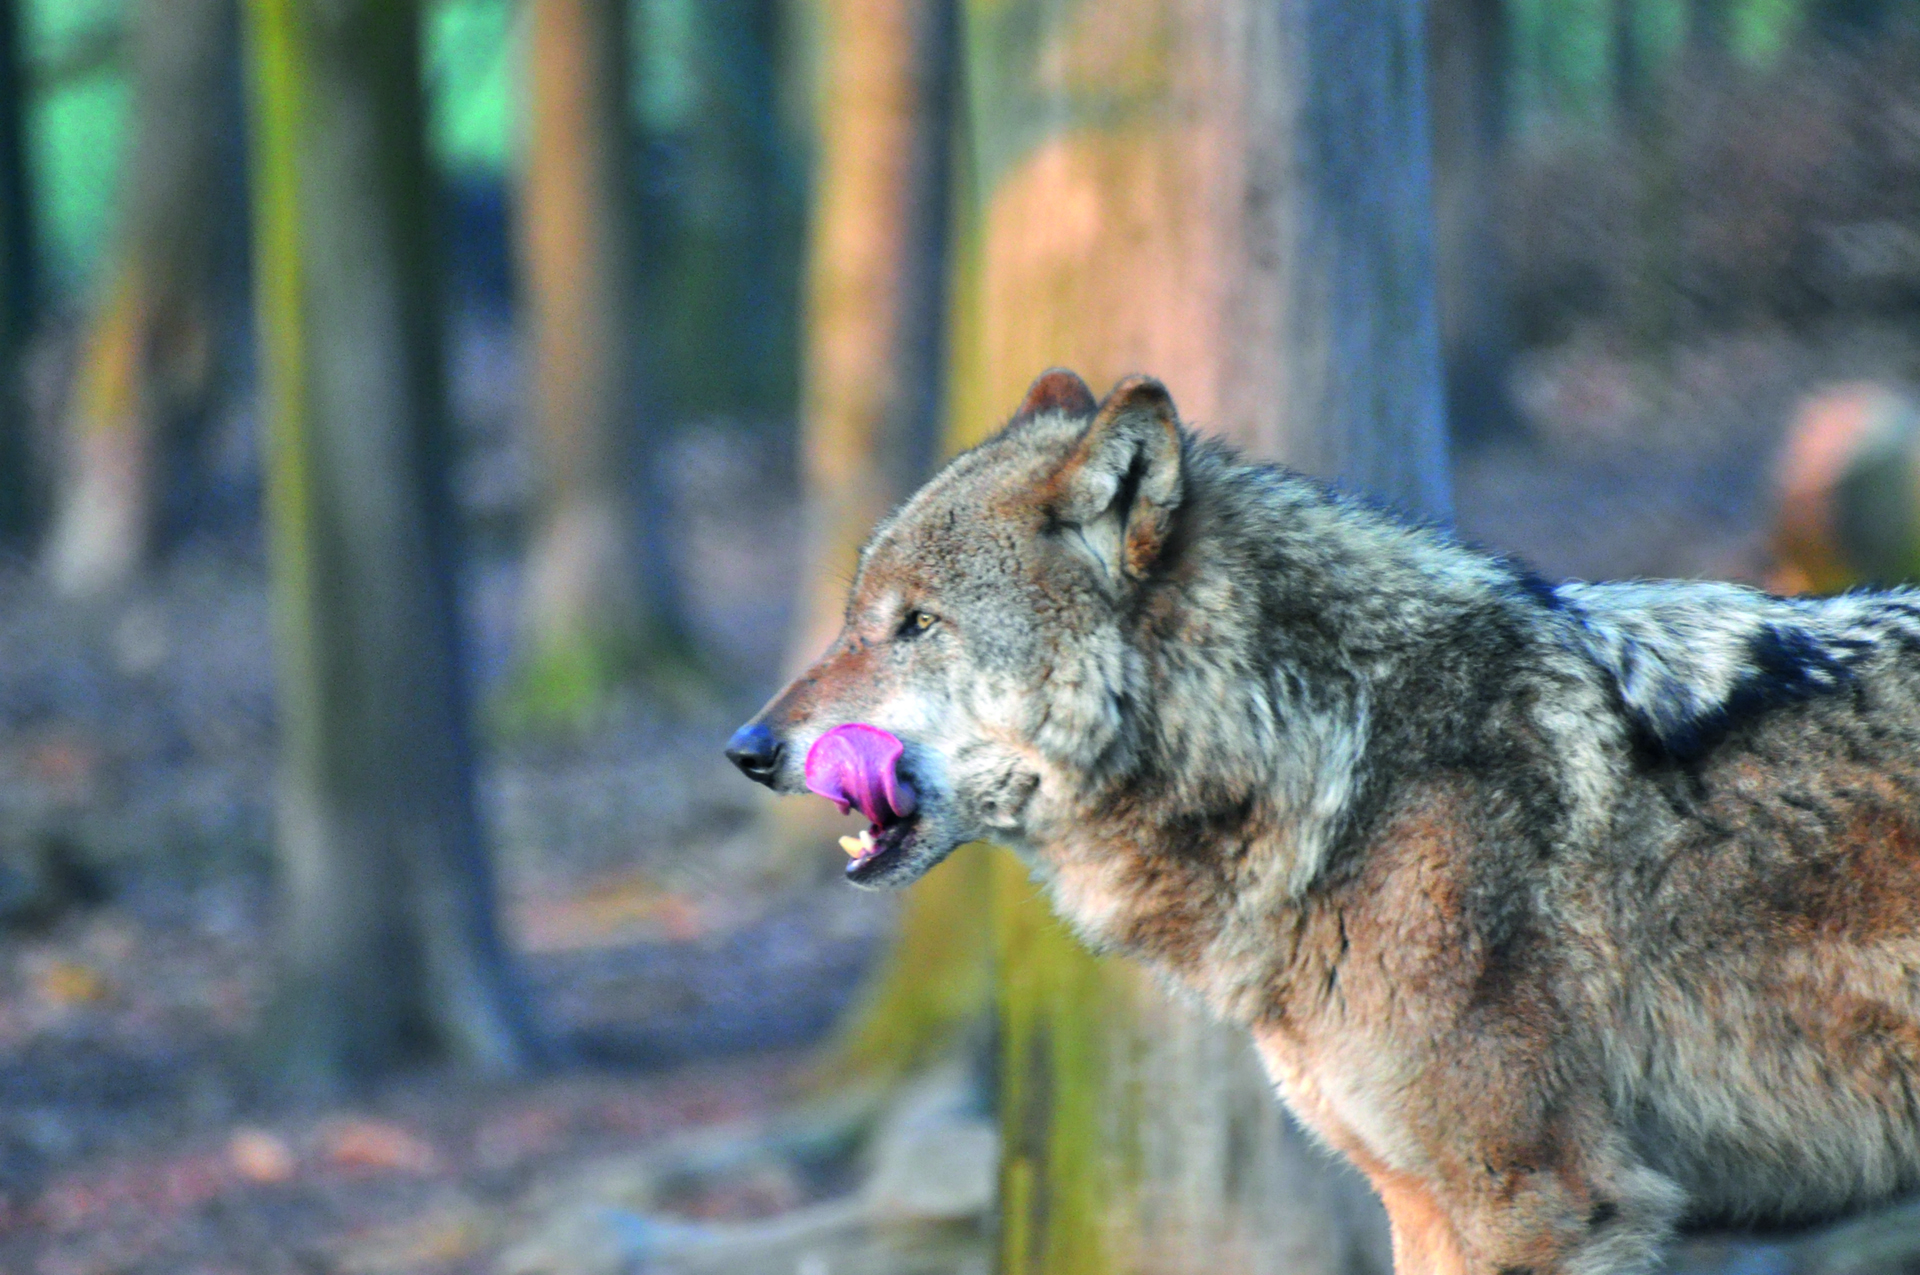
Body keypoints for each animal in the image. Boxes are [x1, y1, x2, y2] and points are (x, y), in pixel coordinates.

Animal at [726, 369, 1920, 1275]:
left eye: (917, 624)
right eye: (857, 617)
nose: (747, 747)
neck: (1335, 752)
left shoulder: (1538, 1197)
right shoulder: (1423, 1201)